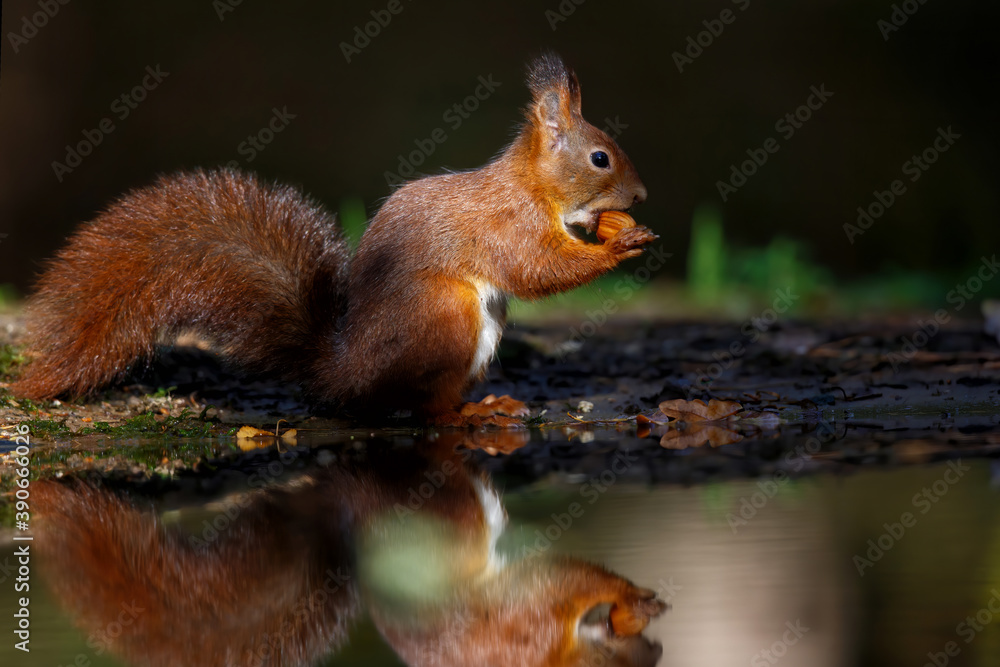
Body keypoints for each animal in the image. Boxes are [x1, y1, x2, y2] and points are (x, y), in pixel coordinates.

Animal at [12, 53, 655, 423]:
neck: (534, 188)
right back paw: (474, 412)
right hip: (447, 316)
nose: (642, 196)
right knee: (427, 406)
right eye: (600, 158)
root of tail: (348, 371)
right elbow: (536, 269)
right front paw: (618, 245)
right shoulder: (509, 225)